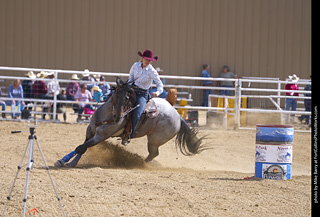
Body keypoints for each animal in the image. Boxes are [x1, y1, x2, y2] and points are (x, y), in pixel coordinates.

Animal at [54, 77, 206, 167]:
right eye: (116, 94)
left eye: (128, 98)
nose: (117, 117)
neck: (106, 116)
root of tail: (178, 115)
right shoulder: (90, 131)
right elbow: (83, 146)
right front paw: (68, 161)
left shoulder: (101, 136)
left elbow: (81, 147)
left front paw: (64, 161)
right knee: (153, 154)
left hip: (155, 140)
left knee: (154, 153)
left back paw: (140, 164)